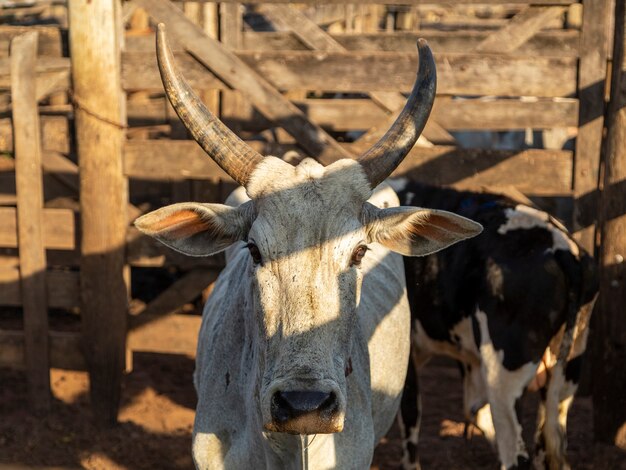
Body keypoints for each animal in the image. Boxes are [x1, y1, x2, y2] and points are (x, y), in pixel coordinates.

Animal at [392, 180, 596, 470]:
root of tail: (562, 246)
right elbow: (475, 410)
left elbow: (409, 411)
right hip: (567, 368)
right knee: (546, 443)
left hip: (504, 374)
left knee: (516, 452)